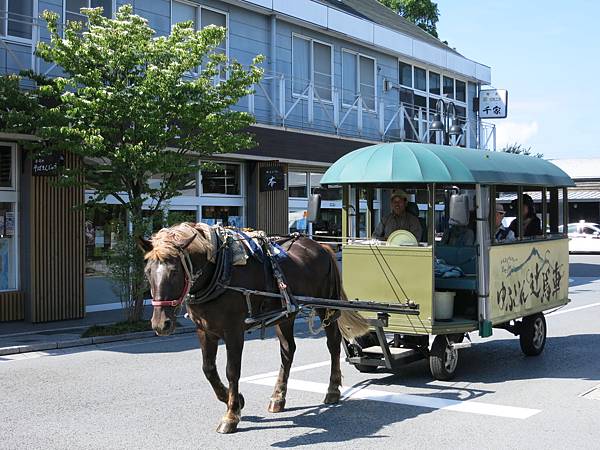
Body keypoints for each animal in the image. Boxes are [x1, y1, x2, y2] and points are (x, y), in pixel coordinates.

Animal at [139, 223, 370, 434]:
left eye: (174, 272)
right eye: (147, 272)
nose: (160, 324)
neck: (219, 271)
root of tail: (321, 246)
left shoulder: (234, 330)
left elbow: (232, 371)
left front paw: (231, 415)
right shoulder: (204, 330)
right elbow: (208, 369)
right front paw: (234, 399)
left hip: (326, 306)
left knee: (333, 344)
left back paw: (332, 390)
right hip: (286, 314)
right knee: (288, 351)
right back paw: (278, 397)